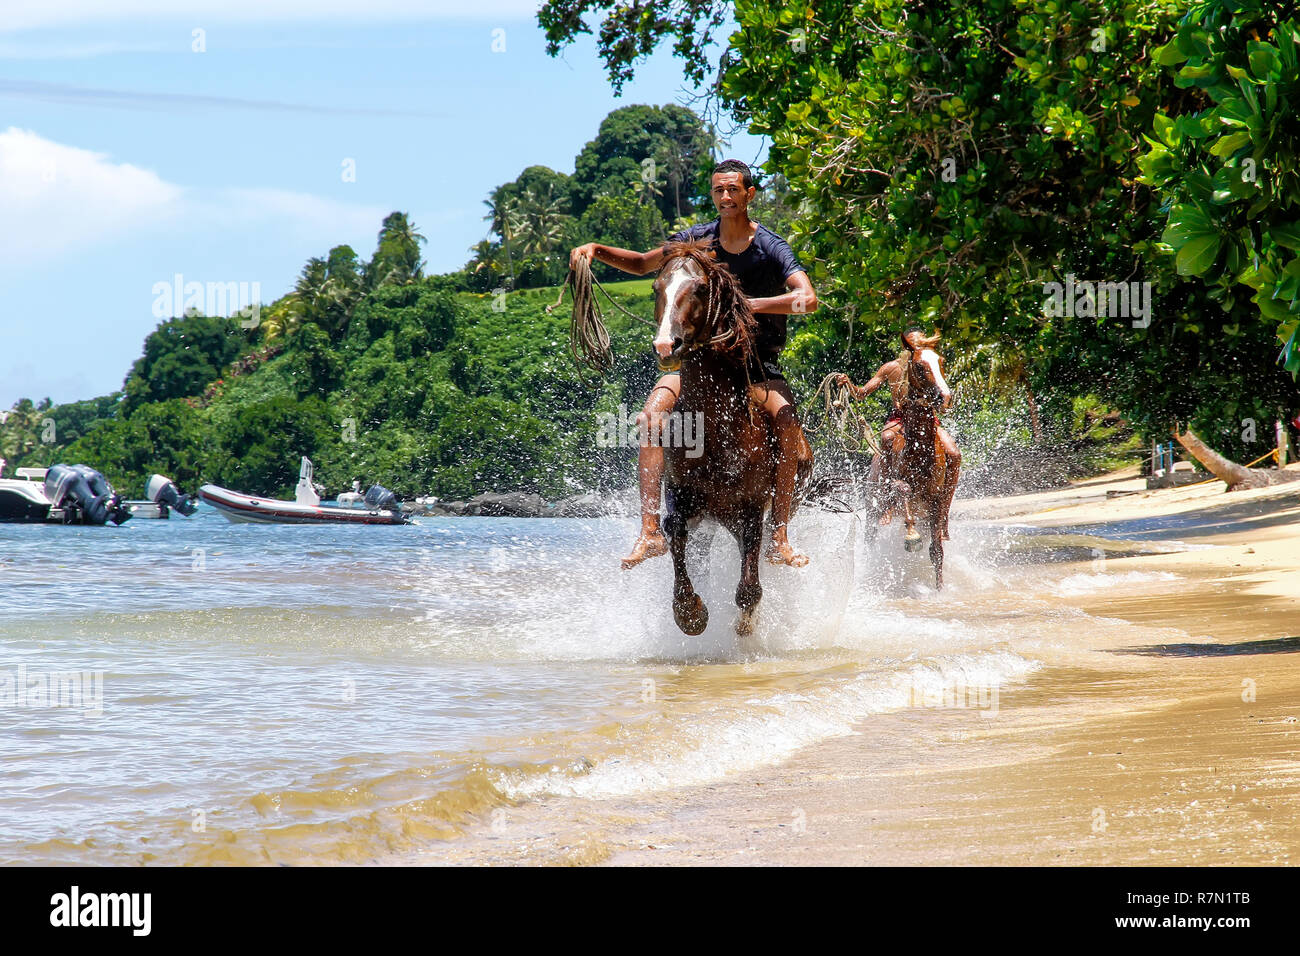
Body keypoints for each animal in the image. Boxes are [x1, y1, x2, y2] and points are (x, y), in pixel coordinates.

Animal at [650, 240, 811, 634]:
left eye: (699, 288)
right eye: (657, 288)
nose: (666, 345)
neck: (715, 429)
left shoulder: (750, 509)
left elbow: (749, 587)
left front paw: (745, 625)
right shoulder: (682, 497)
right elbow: (675, 531)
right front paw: (690, 612)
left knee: (766, 548)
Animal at [873, 335, 956, 590]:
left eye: (941, 361)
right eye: (919, 366)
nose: (944, 397)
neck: (920, 450)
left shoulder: (936, 501)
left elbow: (936, 551)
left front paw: (940, 590)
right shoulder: (899, 484)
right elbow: (903, 488)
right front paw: (911, 535)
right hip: (872, 510)